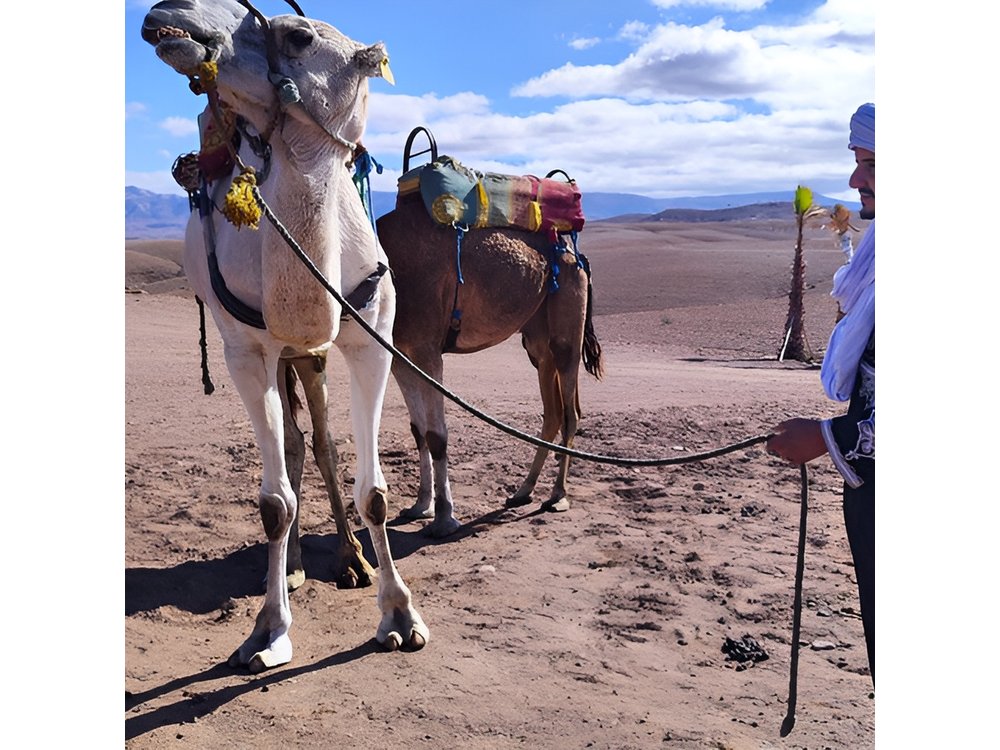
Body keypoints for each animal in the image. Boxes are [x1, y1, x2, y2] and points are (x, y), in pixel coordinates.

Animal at [141, 0, 427, 671]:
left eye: (296, 35)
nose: (171, 15)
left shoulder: (370, 342)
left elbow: (373, 490)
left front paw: (400, 616)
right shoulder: (245, 353)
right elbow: (273, 503)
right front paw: (268, 631)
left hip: (313, 354)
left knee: (318, 443)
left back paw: (351, 560)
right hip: (281, 355)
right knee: (295, 446)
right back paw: (295, 566)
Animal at [376, 183, 604, 538]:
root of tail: (575, 255)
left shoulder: (426, 348)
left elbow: (436, 434)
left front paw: (444, 518)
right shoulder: (400, 351)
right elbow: (418, 429)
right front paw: (420, 506)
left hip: (567, 327)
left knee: (570, 412)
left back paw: (557, 496)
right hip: (538, 342)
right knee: (552, 411)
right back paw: (523, 491)